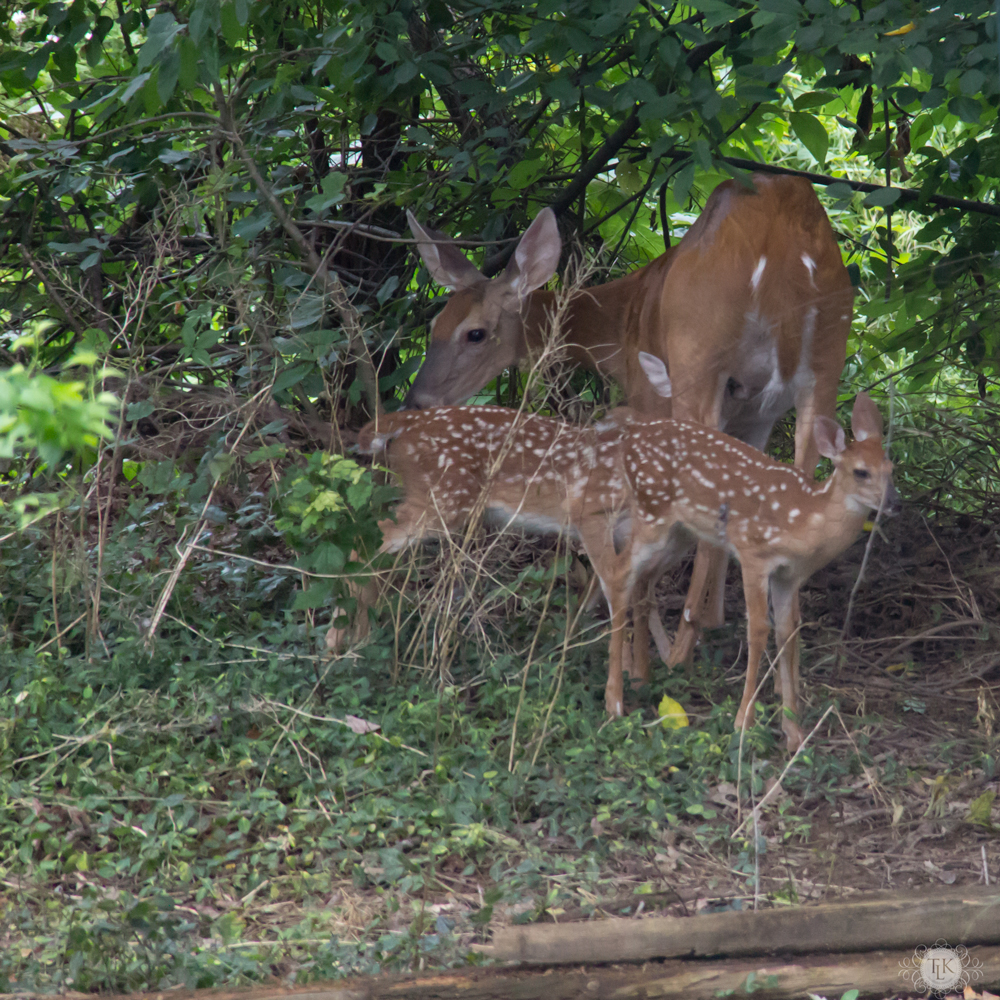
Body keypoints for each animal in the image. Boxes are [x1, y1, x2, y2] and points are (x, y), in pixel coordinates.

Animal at [398, 173, 852, 672]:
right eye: (434, 325)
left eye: (475, 333)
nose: (416, 401)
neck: (621, 324)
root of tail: (782, 247)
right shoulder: (753, 414)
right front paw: (712, 620)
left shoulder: (649, 395)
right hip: (826, 365)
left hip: (697, 357)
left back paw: (675, 646)